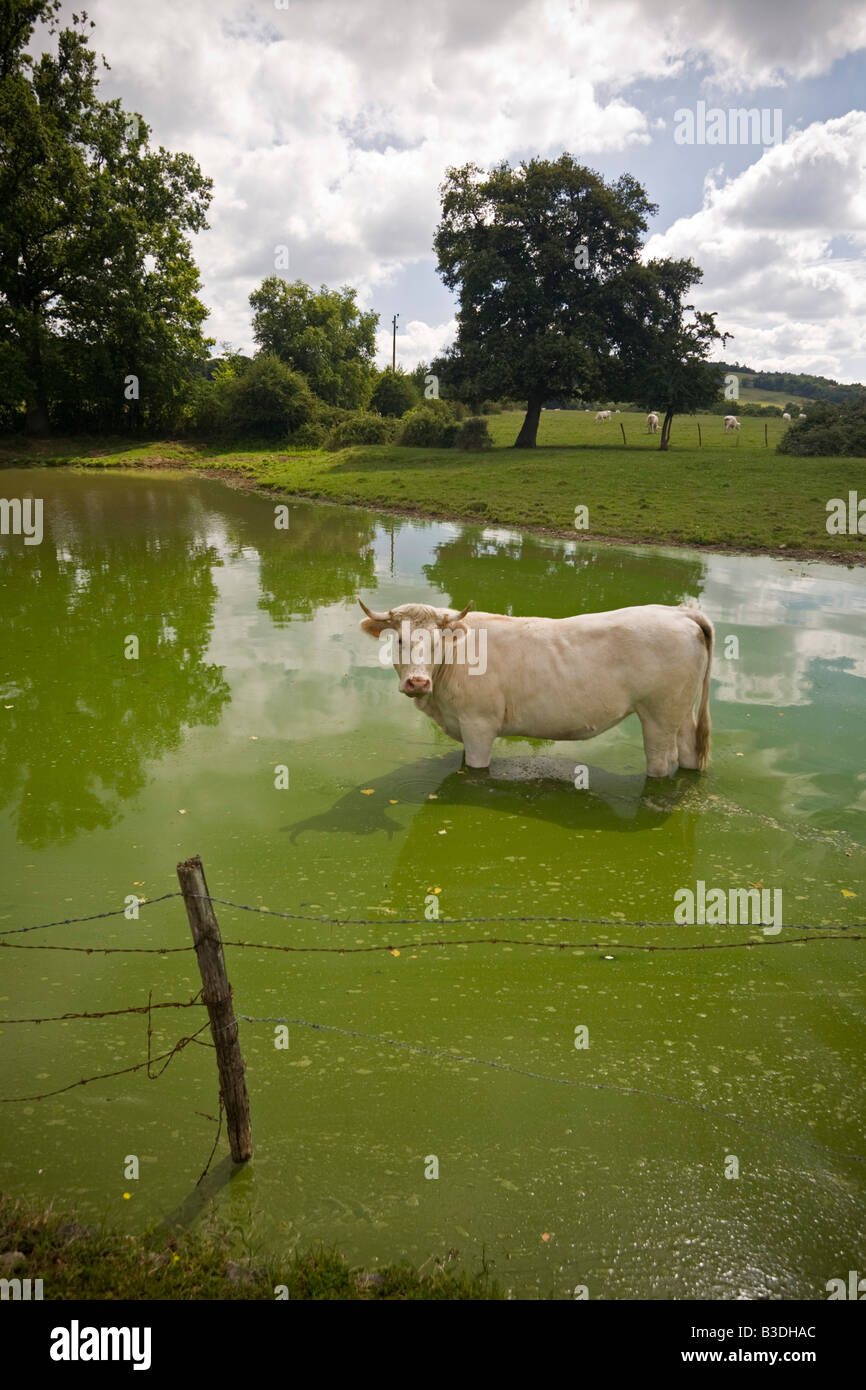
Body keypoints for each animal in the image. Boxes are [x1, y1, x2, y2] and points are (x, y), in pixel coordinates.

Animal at [359, 600, 713, 779]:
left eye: (437, 642)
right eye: (399, 640)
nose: (418, 682)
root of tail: (678, 611)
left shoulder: (478, 724)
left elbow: (475, 769)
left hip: (659, 714)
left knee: (661, 761)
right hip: (680, 710)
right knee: (688, 750)